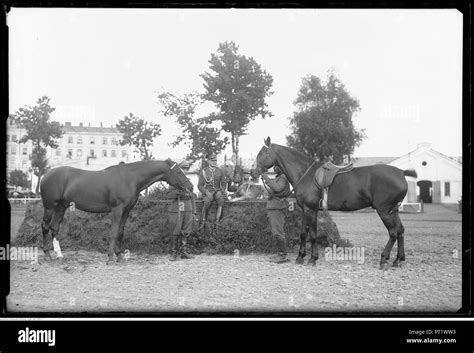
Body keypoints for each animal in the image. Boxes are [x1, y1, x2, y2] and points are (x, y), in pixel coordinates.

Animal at [40, 158, 193, 262]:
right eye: (178, 171)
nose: (190, 187)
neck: (129, 179)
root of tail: (45, 175)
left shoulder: (126, 211)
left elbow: (120, 232)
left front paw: (119, 256)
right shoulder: (117, 210)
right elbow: (113, 232)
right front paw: (110, 257)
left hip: (61, 207)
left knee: (54, 227)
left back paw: (59, 254)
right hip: (49, 207)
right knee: (45, 226)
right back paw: (47, 254)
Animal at [258, 138, 416, 270]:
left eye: (262, 154)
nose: (254, 172)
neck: (305, 174)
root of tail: (401, 172)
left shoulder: (311, 210)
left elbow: (313, 235)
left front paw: (312, 259)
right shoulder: (305, 210)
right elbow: (303, 234)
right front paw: (300, 257)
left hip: (384, 210)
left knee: (393, 233)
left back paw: (384, 259)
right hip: (393, 210)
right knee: (401, 231)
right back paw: (398, 259)